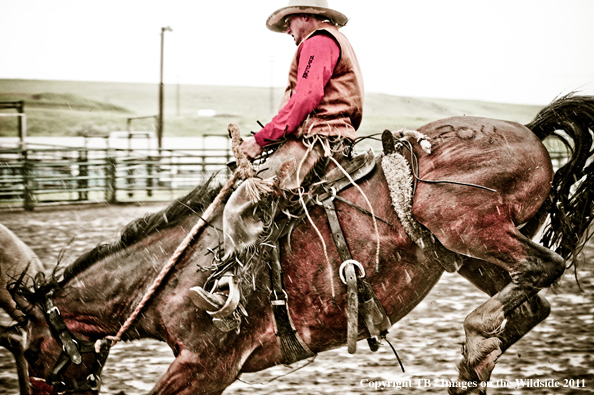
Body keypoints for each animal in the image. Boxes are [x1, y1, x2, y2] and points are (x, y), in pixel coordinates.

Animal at [5, 94, 592, 394]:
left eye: (32, 351)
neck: (171, 276)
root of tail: (530, 131)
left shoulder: (206, 364)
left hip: (468, 226)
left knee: (543, 266)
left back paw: (475, 341)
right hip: (458, 252)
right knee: (531, 305)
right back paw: (474, 364)